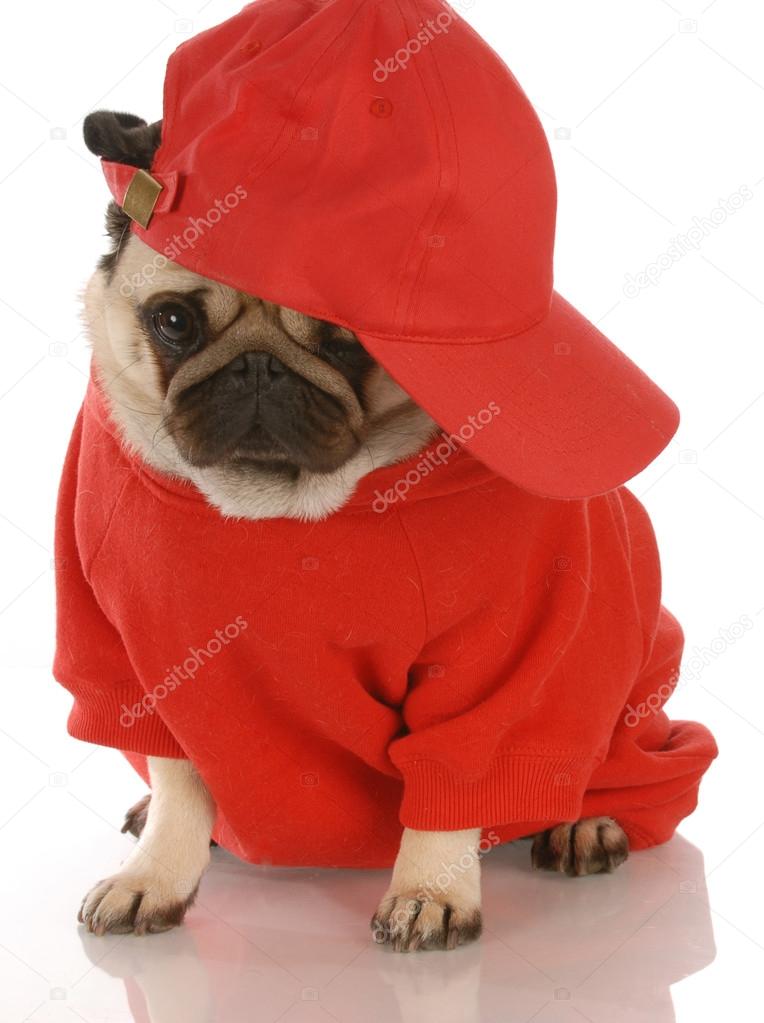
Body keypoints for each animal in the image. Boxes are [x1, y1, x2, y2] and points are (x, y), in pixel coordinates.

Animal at [74, 112, 630, 949]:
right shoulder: (147, 670)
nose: (258, 367)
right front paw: (156, 875)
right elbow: (178, 783)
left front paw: (429, 890)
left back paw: (584, 821)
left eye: (346, 340)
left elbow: (457, 777)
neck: (278, 502)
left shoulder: (489, 666)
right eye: (174, 322)